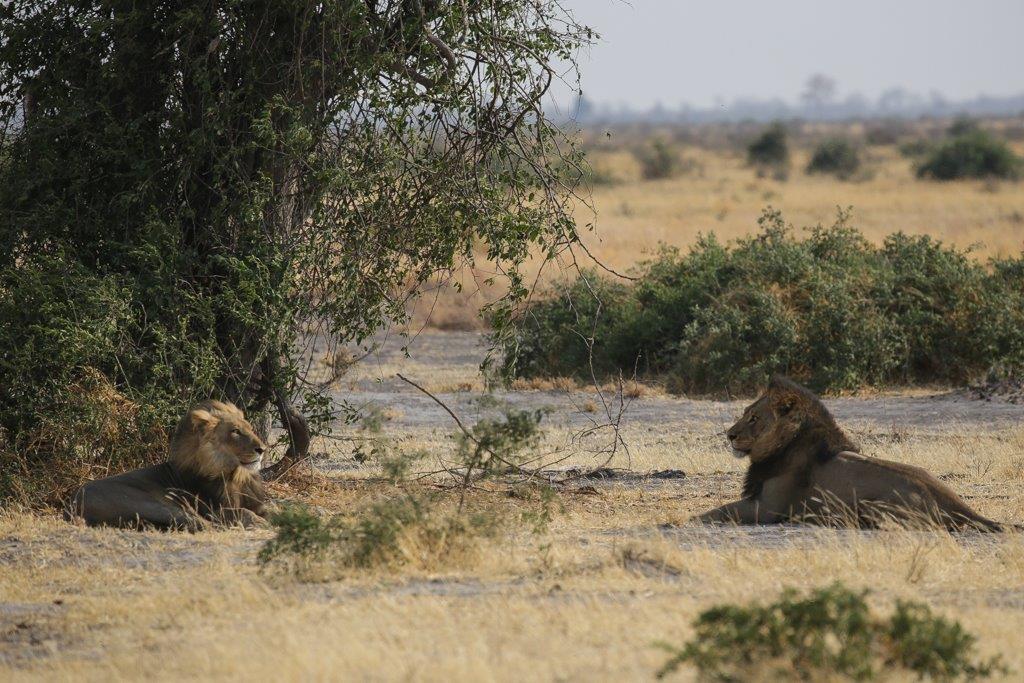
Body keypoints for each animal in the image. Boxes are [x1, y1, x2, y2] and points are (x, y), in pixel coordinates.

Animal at [67, 403, 268, 532]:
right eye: (235, 431)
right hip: (156, 504)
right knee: (202, 524)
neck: (237, 475)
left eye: (250, 429)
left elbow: (269, 509)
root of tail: (71, 505)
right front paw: (259, 522)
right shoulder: (213, 509)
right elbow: (243, 511)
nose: (262, 449)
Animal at [696, 376, 1007, 532]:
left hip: (872, 506)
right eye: (745, 413)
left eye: (754, 418)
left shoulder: (769, 507)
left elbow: (714, 512)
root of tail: (955, 503)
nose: (730, 435)